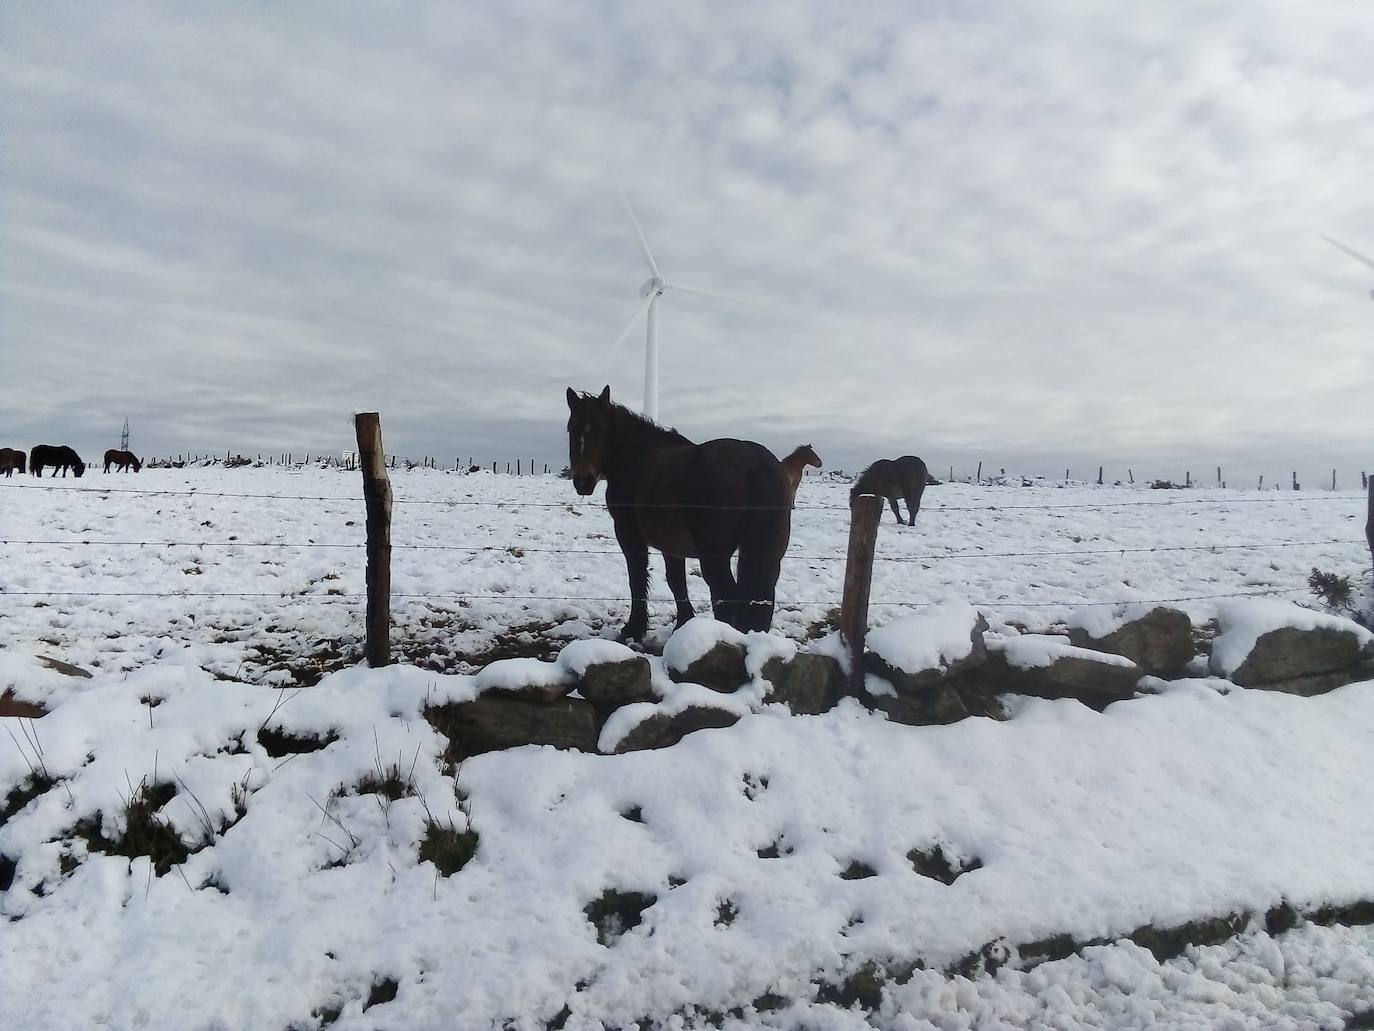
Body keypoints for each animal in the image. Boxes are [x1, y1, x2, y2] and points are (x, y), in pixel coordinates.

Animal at [563, 387, 791, 643]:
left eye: (601, 429)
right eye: (572, 429)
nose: (583, 481)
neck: (638, 458)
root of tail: (759, 464)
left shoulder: (629, 535)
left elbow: (637, 579)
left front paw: (634, 628)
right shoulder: (671, 546)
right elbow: (676, 582)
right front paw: (683, 624)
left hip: (714, 556)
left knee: (726, 595)